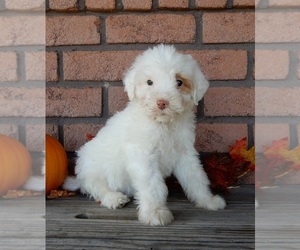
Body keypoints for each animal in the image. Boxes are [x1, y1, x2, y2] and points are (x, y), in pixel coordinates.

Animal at [64, 44, 226, 226]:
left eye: (179, 82)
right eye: (150, 82)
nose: (162, 102)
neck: (162, 123)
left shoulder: (185, 153)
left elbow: (196, 177)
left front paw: (208, 201)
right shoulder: (143, 156)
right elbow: (152, 186)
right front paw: (155, 213)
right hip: (92, 168)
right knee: (96, 187)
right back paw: (114, 198)